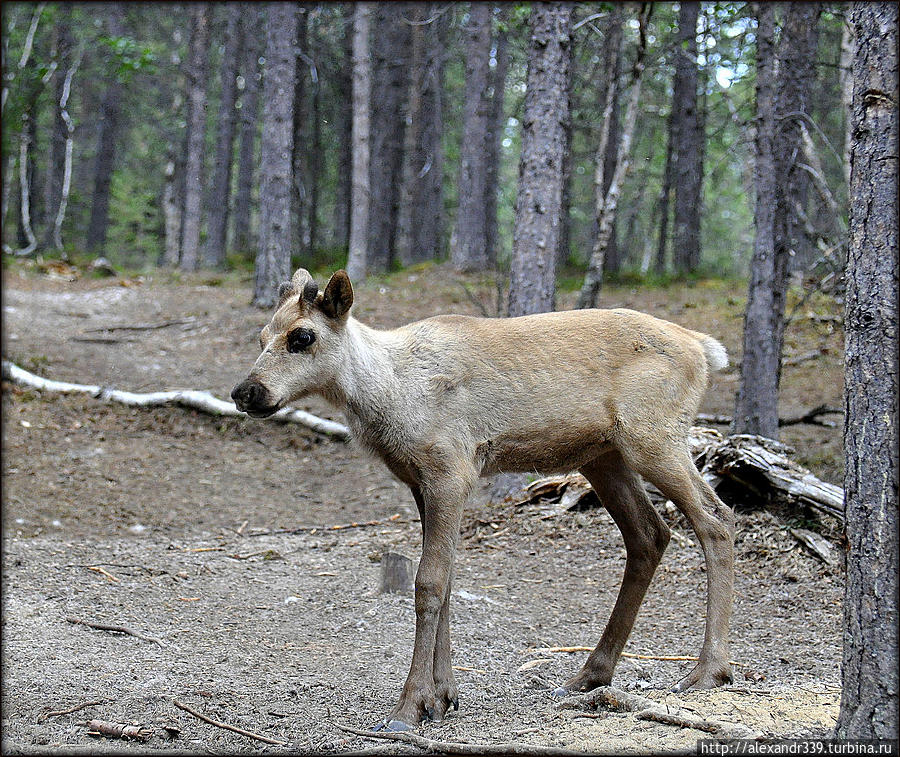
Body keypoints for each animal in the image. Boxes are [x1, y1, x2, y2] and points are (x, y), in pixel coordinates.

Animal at [234, 268, 740, 728]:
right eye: (262, 335)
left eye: (303, 336)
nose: (246, 392)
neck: (388, 397)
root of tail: (705, 348)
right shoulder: (421, 482)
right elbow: (448, 582)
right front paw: (442, 697)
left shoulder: (450, 471)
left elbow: (428, 584)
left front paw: (409, 707)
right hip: (604, 456)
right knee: (649, 534)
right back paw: (590, 674)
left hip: (653, 439)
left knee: (716, 518)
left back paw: (708, 671)